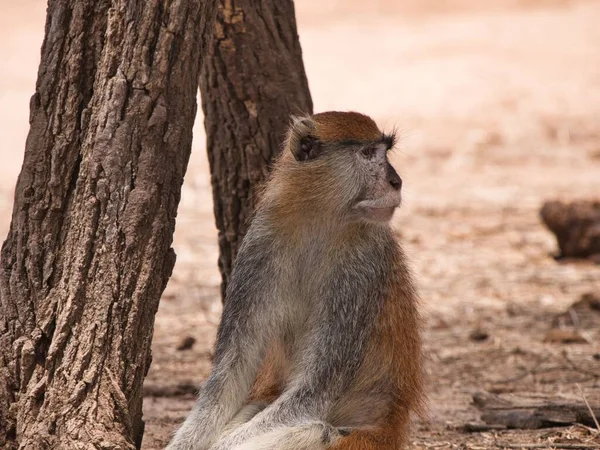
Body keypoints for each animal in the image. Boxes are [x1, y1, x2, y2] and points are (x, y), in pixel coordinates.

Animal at [166, 110, 424, 450]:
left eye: (385, 153)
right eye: (368, 154)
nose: (396, 181)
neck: (320, 221)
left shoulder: (362, 268)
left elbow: (312, 392)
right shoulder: (260, 245)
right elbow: (229, 376)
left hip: (365, 440)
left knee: (316, 431)